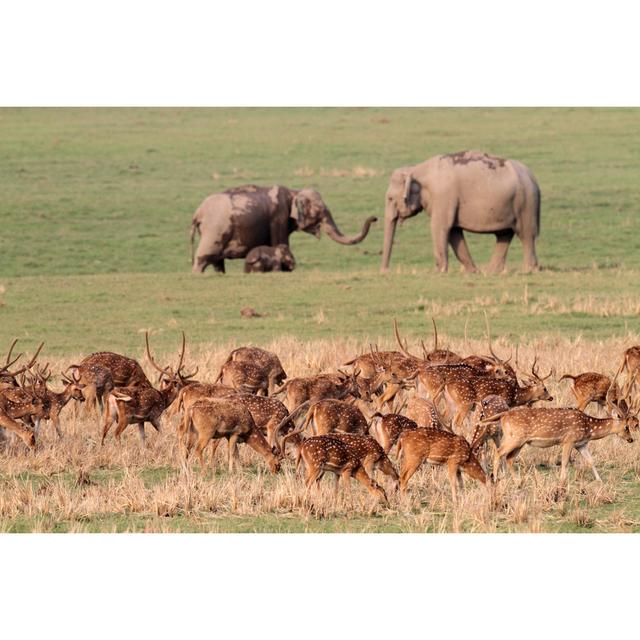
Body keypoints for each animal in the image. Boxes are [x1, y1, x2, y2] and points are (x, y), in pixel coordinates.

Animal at [190, 182, 380, 272]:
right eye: (319, 211)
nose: (375, 218)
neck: (293, 192)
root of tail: (197, 213)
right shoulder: (278, 217)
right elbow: (280, 244)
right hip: (214, 231)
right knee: (202, 260)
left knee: (217, 263)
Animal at [380, 151, 540, 274]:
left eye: (390, 198)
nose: (385, 271)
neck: (417, 169)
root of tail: (532, 177)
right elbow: (454, 232)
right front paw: (472, 272)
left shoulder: (443, 197)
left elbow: (439, 227)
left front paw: (438, 272)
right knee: (504, 234)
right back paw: (491, 272)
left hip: (526, 203)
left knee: (526, 234)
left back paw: (528, 270)